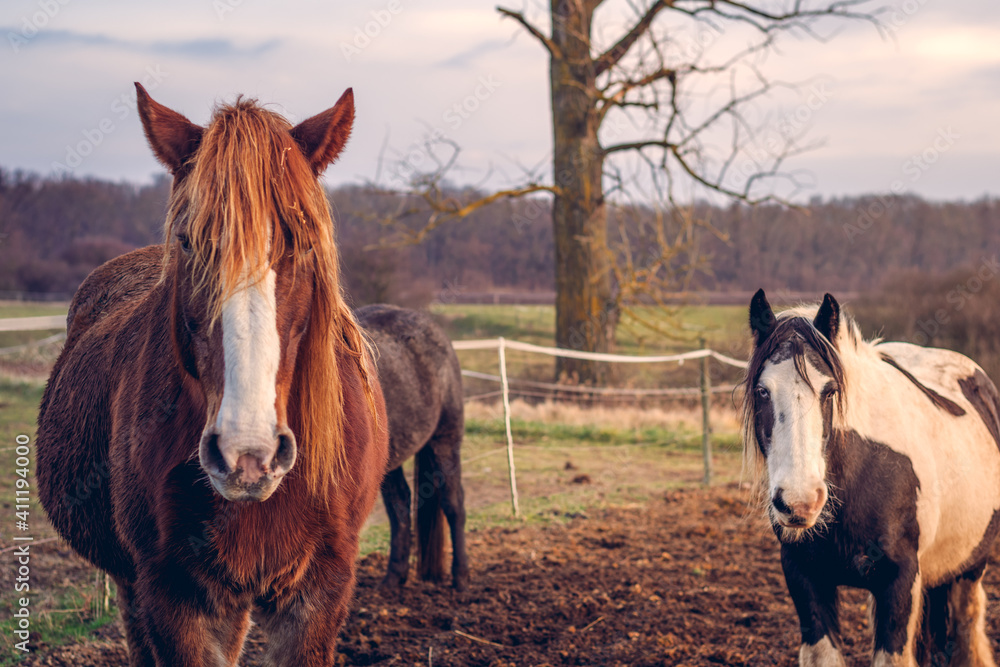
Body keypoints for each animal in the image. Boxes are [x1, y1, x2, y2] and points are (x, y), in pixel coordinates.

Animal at [35, 85, 388, 667]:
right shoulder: (175, 597)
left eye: (304, 242)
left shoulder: (318, 595)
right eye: (187, 241)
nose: (247, 453)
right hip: (135, 587)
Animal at [744, 290, 1000, 664]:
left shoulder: (899, 582)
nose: (799, 502)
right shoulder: (804, 577)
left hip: (970, 568)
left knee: (967, 632)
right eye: (763, 391)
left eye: (830, 391)